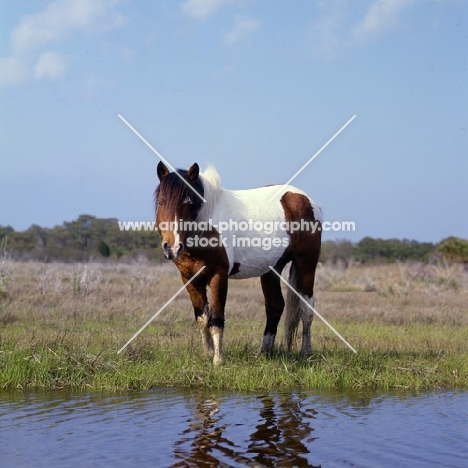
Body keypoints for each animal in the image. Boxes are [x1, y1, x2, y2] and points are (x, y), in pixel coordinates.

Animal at [154, 162, 322, 366]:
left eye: (189, 203)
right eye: (161, 202)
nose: (171, 247)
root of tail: (305, 199)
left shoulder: (219, 275)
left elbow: (216, 318)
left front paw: (218, 360)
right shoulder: (189, 278)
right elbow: (202, 318)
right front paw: (208, 354)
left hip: (306, 262)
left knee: (306, 307)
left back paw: (306, 352)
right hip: (272, 269)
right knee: (275, 306)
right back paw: (263, 353)